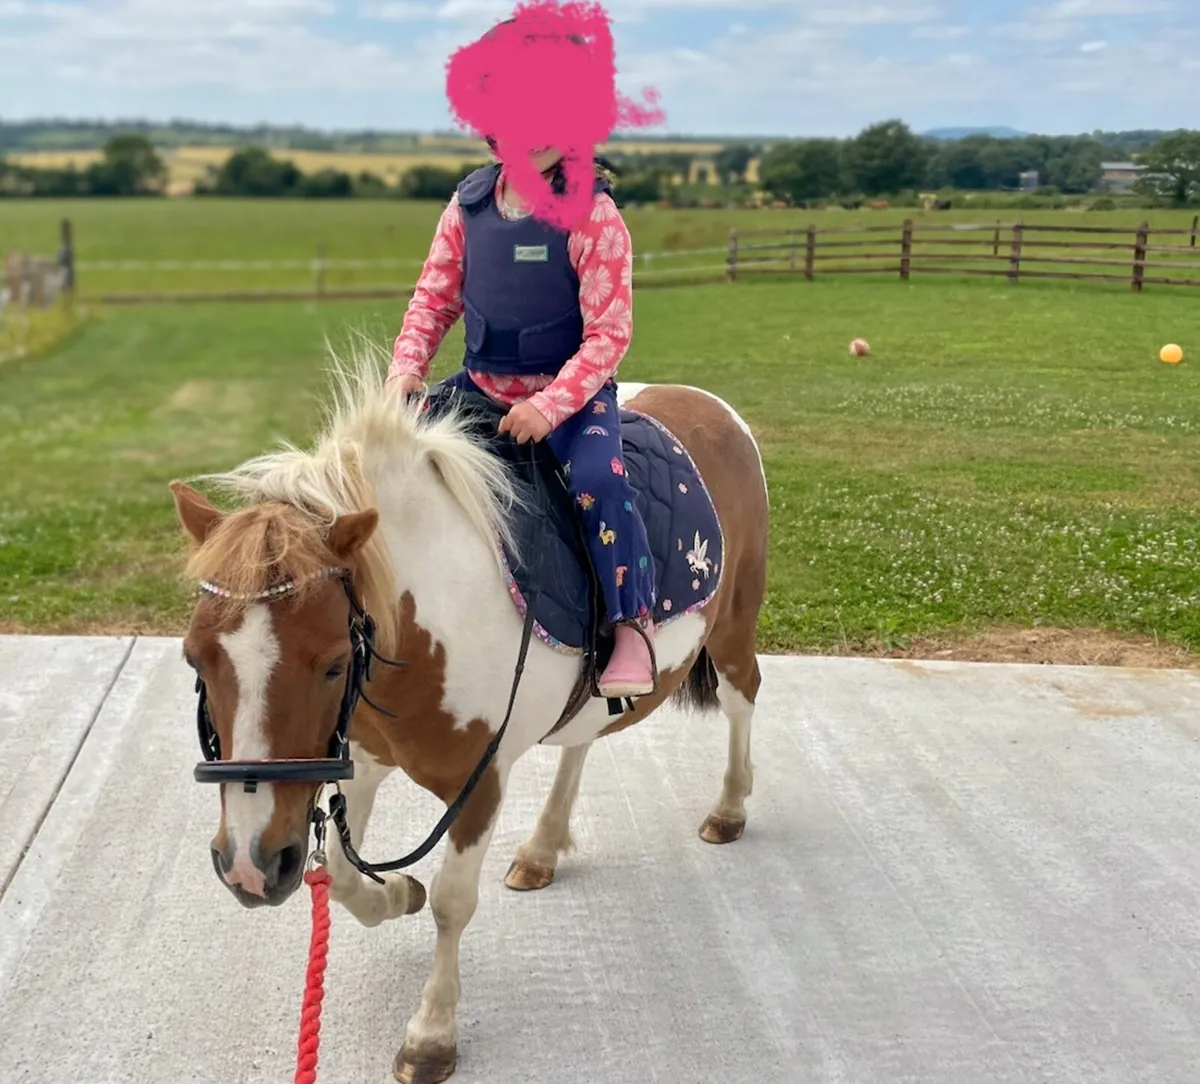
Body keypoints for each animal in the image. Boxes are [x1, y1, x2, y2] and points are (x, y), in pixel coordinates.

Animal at [168, 347, 770, 1083]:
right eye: (196, 659)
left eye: (335, 663)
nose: (251, 865)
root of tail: (711, 405)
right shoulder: (361, 759)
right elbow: (339, 874)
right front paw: (398, 893)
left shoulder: (480, 783)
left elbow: (453, 904)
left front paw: (431, 1035)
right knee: (584, 738)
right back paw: (542, 848)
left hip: (734, 625)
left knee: (744, 698)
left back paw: (729, 810)